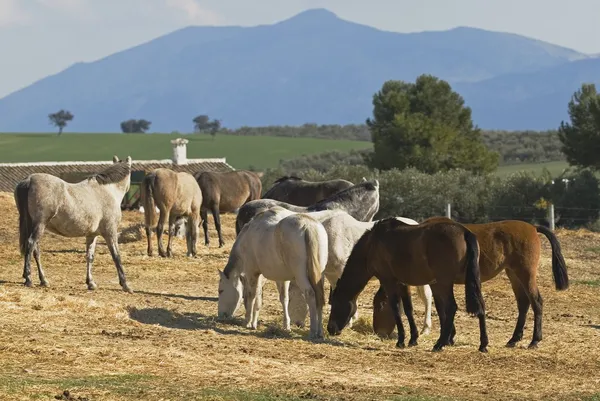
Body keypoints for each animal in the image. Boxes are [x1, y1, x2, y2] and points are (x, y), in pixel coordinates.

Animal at [14, 155, 135, 290]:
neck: (107, 191)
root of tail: (29, 180)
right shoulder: (110, 233)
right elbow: (116, 256)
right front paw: (125, 285)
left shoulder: (92, 235)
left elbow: (90, 256)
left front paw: (90, 283)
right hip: (39, 225)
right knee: (30, 244)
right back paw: (28, 279)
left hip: (33, 225)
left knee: (35, 250)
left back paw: (43, 280)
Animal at [216, 206, 328, 338]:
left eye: (221, 291)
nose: (220, 315)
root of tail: (308, 226)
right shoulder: (282, 279)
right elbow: (283, 299)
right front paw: (286, 325)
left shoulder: (252, 272)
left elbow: (252, 295)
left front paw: (247, 321)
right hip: (319, 275)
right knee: (319, 296)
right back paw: (320, 331)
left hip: (301, 276)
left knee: (310, 293)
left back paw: (313, 330)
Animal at [324, 217, 488, 352]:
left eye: (336, 303)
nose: (330, 328)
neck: (372, 245)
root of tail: (465, 232)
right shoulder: (403, 283)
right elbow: (408, 309)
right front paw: (413, 339)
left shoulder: (389, 281)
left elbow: (396, 308)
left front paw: (401, 341)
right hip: (472, 281)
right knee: (481, 306)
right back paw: (483, 344)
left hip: (444, 283)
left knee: (452, 307)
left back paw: (439, 344)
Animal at [370, 217, 568, 348]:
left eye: (379, 306)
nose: (378, 331)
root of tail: (533, 227)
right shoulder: (437, 283)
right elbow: (442, 309)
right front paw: (449, 337)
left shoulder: (437, 282)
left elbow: (443, 309)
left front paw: (446, 338)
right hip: (514, 274)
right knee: (523, 304)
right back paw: (513, 339)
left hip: (525, 273)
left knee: (536, 302)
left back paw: (534, 340)